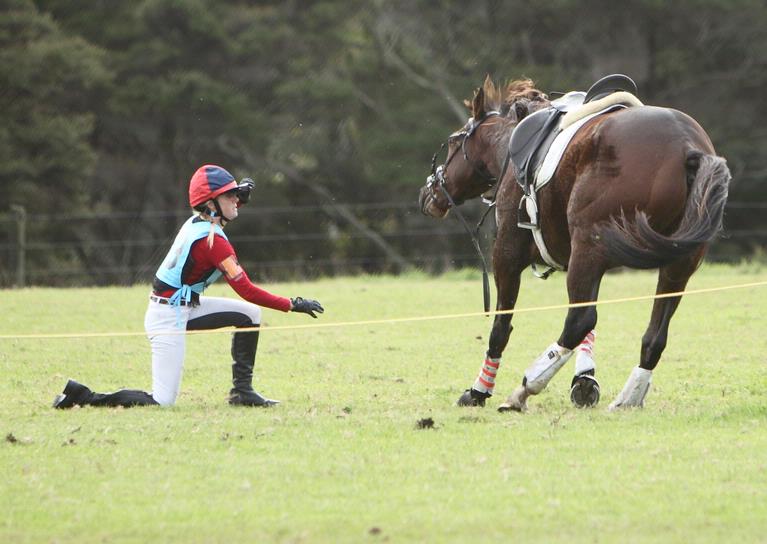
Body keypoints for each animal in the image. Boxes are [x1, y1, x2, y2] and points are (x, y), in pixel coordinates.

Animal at [420, 74, 732, 410]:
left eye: (454, 142)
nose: (428, 193)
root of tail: (687, 146)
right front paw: (584, 381)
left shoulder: (508, 254)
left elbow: (501, 328)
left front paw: (479, 391)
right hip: (676, 264)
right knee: (653, 335)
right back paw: (628, 398)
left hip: (589, 247)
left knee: (578, 321)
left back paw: (524, 390)